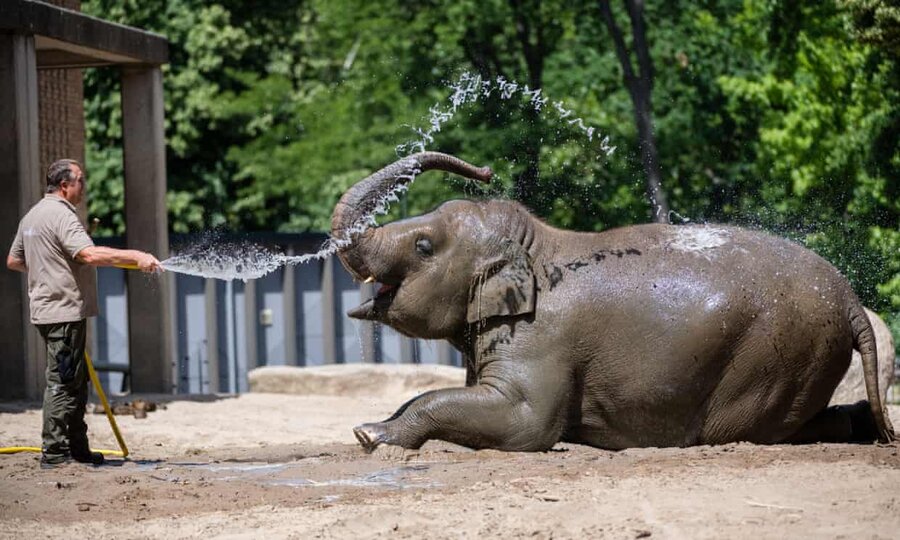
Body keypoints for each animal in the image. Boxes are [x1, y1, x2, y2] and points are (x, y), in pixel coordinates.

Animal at [328, 152, 892, 452]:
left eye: (423, 246)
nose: (485, 171)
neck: (532, 245)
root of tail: (852, 301)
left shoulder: (541, 337)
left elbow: (526, 423)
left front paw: (370, 435)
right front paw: (372, 426)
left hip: (774, 354)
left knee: (753, 429)